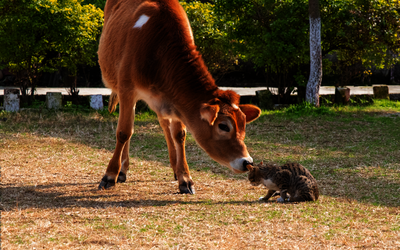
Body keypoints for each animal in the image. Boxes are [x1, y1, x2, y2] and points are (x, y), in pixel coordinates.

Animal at [96, 0, 260, 193]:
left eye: (243, 125)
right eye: (223, 126)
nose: (247, 162)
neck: (159, 49)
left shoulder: (177, 100)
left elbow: (179, 135)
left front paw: (185, 178)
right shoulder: (127, 89)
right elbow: (123, 132)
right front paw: (110, 175)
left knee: (165, 125)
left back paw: (173, 167)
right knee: (130, 128)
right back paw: (123, 170)